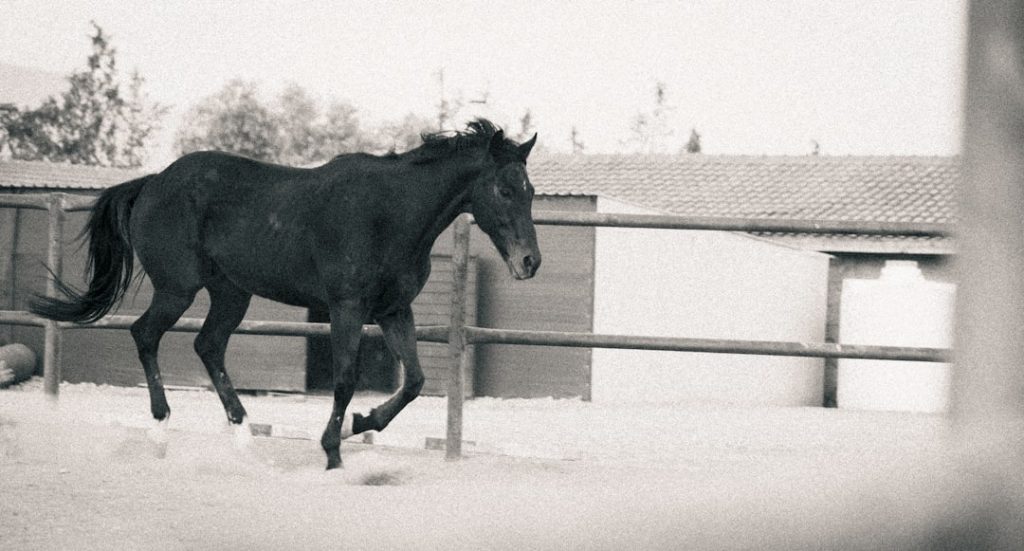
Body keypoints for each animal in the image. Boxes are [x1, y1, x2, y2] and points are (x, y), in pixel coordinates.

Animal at [31, 119, 541, 469]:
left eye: (531, 191)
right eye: (503, 189)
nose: (530, 262)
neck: (390, 214)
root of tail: (153, 183)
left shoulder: (394, 310)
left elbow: (414, 381)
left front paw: (361, 424)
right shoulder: (346, 307)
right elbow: (344, 379)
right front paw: (333, 451)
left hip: (230, 295)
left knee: (208, 346)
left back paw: (243, 438)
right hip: (177, 289)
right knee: (145, 336)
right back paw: (160, 431)